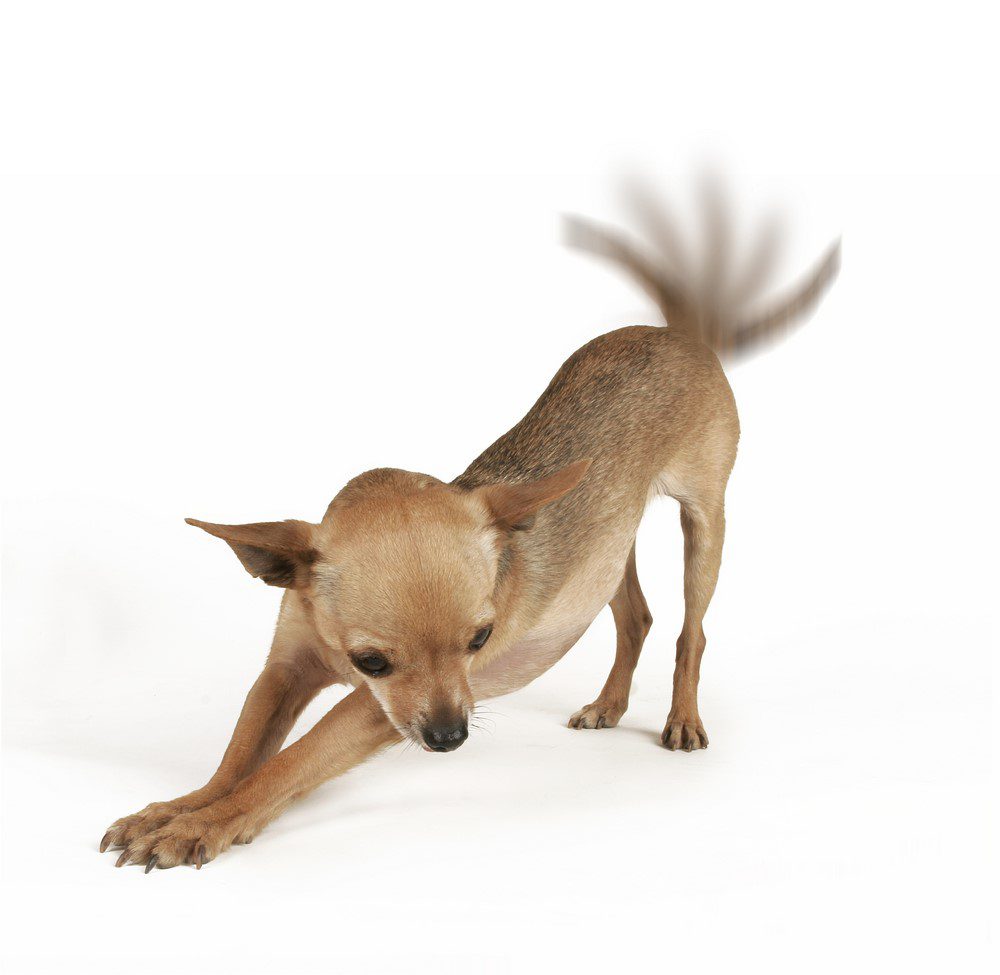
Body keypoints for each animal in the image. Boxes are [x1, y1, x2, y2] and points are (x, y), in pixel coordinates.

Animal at [101, 191, 840, 868]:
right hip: (611, 544)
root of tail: (681, 334)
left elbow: (288, 763)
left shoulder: (371, 715)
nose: (451, 737)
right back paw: (608, 704)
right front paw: (181, 807)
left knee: (692, 629)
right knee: (637, 617)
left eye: (480, 639)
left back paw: (682, 718)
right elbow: (239, 754)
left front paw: (206, 824)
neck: (337, 660)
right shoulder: (284, 673)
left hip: (704, 522)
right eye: (372, 661)